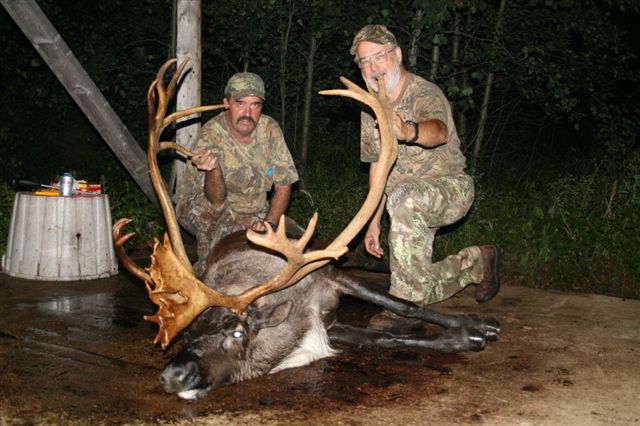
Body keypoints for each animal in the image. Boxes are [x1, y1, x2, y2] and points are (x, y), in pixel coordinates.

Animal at [112, 59, 501, 400]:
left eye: (236, 332)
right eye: (189, 331)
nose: (173, 375)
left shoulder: (329, 273)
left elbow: (405, 305)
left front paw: (479, 325)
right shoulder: (328, 324)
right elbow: (384, 339)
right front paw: (465, 337)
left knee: (383, 266)